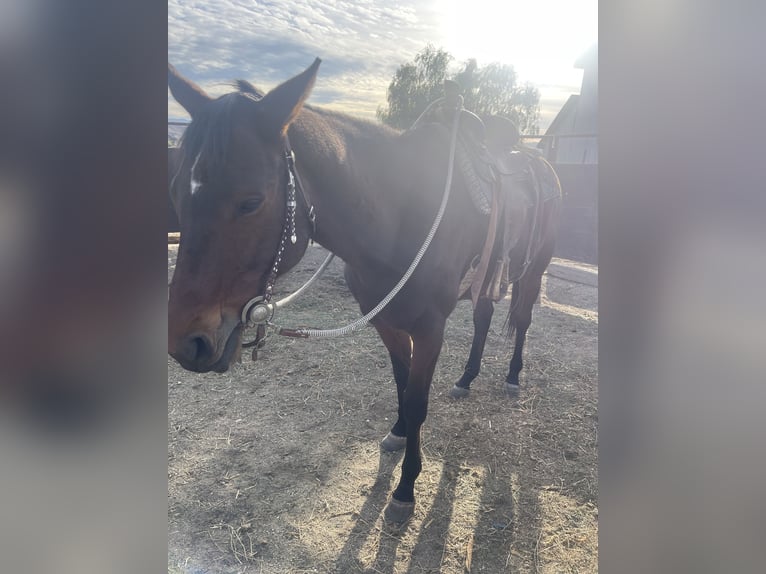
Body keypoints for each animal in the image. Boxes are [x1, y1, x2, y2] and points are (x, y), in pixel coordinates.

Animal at [170, 59, 564, 528]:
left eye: (251, 202)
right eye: (177, 194)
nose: (187, 344)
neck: (399, 217)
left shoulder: (430, 330)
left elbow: (417, 400)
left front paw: (405, 488)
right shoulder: (384, 320)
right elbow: (401, 382)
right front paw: (397, 433)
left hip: (534, 270)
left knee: (521, 319)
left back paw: (512, 376)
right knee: (484, 317)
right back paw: (466, 378)